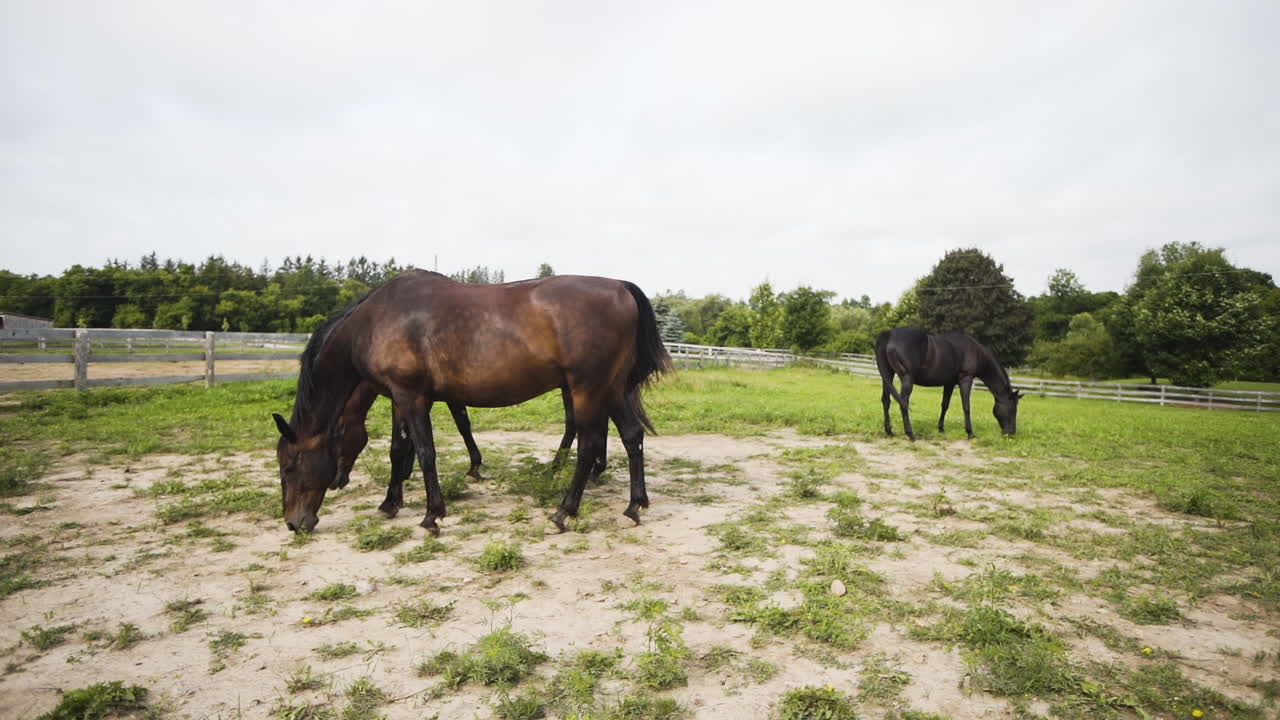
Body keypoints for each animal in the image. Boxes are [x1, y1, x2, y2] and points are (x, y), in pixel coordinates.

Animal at [272, 270, 670, 535]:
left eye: (289, 467)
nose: (294, 523)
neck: (375, 321)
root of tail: (620, 286)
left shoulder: (411, 397)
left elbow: (426, 451)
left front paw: (432, 514)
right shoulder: (401, 398)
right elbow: (399, 451)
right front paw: (390, 503)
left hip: (587, 388)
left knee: (588, 444)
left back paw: (564, 511)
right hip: (611, 388)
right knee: (632, 435)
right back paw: (634, 505)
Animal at [874, 327, 1022, 441]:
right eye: (1013, 409)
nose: (1011, 433)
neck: (976, 352)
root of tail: (888, 334)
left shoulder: (949, 383)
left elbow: (945, 405)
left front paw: (941, 428)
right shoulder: (966, 379)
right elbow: (966, 406)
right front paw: (970, 433)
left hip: (888, 376)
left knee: (886, 401)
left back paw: (889, 432)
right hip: (907, 378)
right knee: (903, 402)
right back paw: (911, 434)